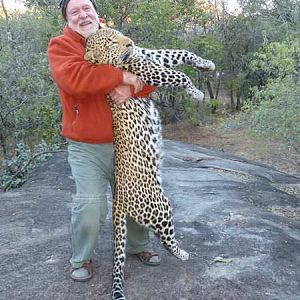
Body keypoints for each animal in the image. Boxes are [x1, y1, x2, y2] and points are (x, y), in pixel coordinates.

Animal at [84, 27, 216, 298]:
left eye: (118, 33)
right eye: (111, 41)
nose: (129, 43)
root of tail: (118, 199)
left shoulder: (151, 55)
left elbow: (183, 53)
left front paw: (207, 64)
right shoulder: (150, 70)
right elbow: (180, 76)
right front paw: (197, 93)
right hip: (161, 206)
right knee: (165, 239)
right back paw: (182, 254)